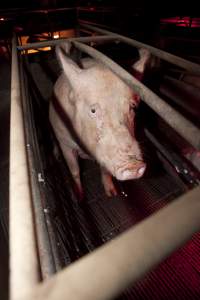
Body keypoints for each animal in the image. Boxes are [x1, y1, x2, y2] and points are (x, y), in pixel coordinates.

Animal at [49, 43, 146, 199]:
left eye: (132, 107)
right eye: (93, 110)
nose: (133, 165)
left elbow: (105, 171)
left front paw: (112, 194)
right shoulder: (65, 142)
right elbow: (74, 170)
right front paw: (80, 197)